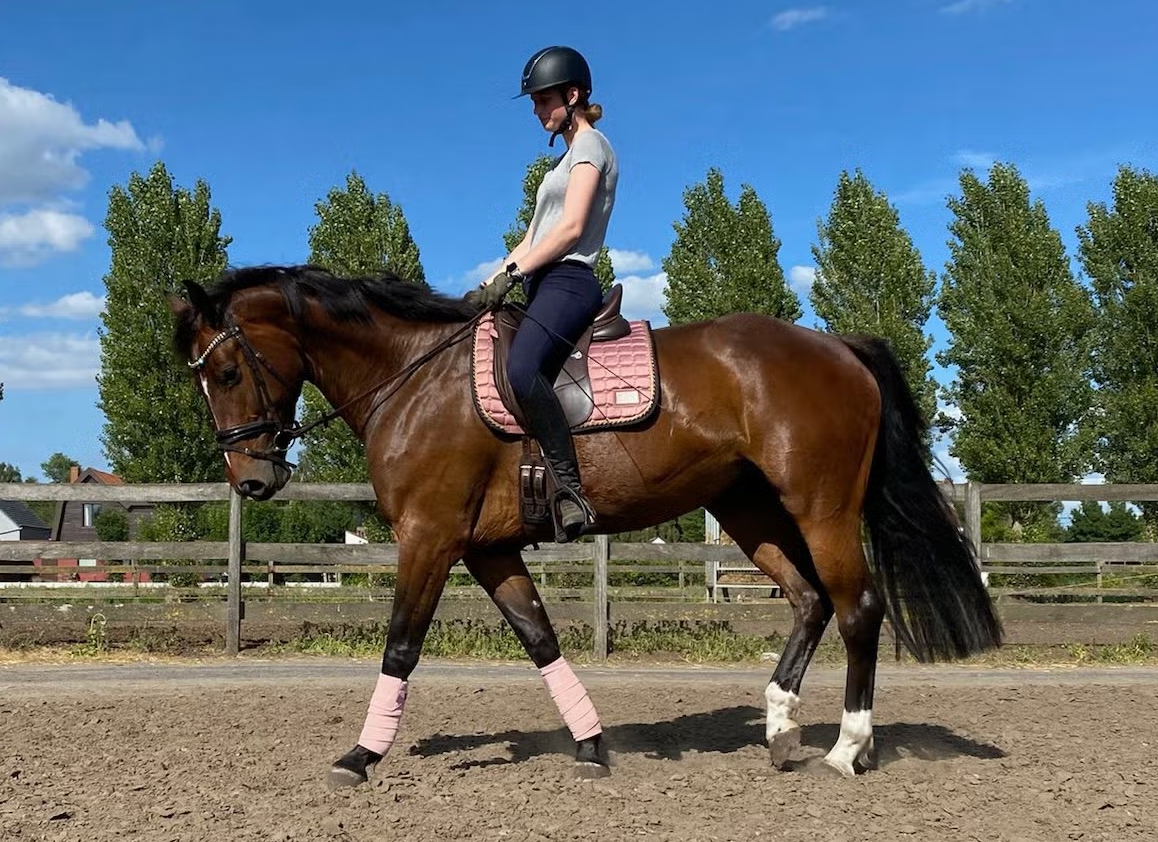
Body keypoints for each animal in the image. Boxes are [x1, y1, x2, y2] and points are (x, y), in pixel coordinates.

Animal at [172, 264, 1001, 786]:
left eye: (227, 372)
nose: (252, 480)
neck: (413, 377)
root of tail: (836, 345)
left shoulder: (430, 537)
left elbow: (401, 647)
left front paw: (359, 757)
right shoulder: (489, 549)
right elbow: (540, 639)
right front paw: (593, 744)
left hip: (820, 507)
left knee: (858, 608)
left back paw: (846, 749)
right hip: (747, 508)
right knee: (810, 600)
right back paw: (780, 731)